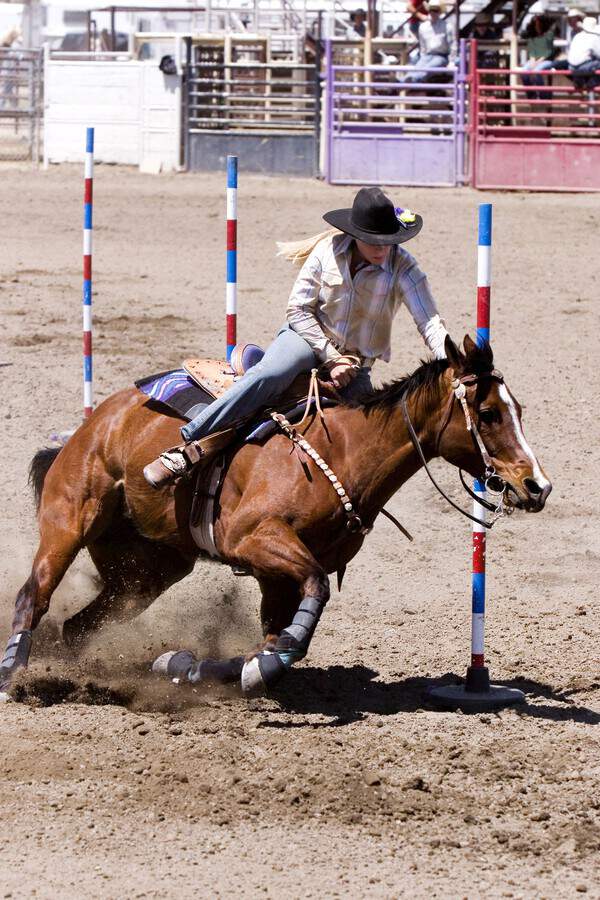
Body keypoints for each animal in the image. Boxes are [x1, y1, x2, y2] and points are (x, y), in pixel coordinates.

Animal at [1, 338, 552, 696]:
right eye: (488, 414)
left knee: (79, 626)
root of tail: (96, 422)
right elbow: (313, 595)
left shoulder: (276, 576)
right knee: (34, 596)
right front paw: (241, 667)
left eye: (519, 410)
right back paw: (13, 677)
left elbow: (275, 638)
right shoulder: (257, 541)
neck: (343, 454)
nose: (537, 486)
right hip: (70, 522)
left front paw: (203, 667)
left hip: (147, 572)